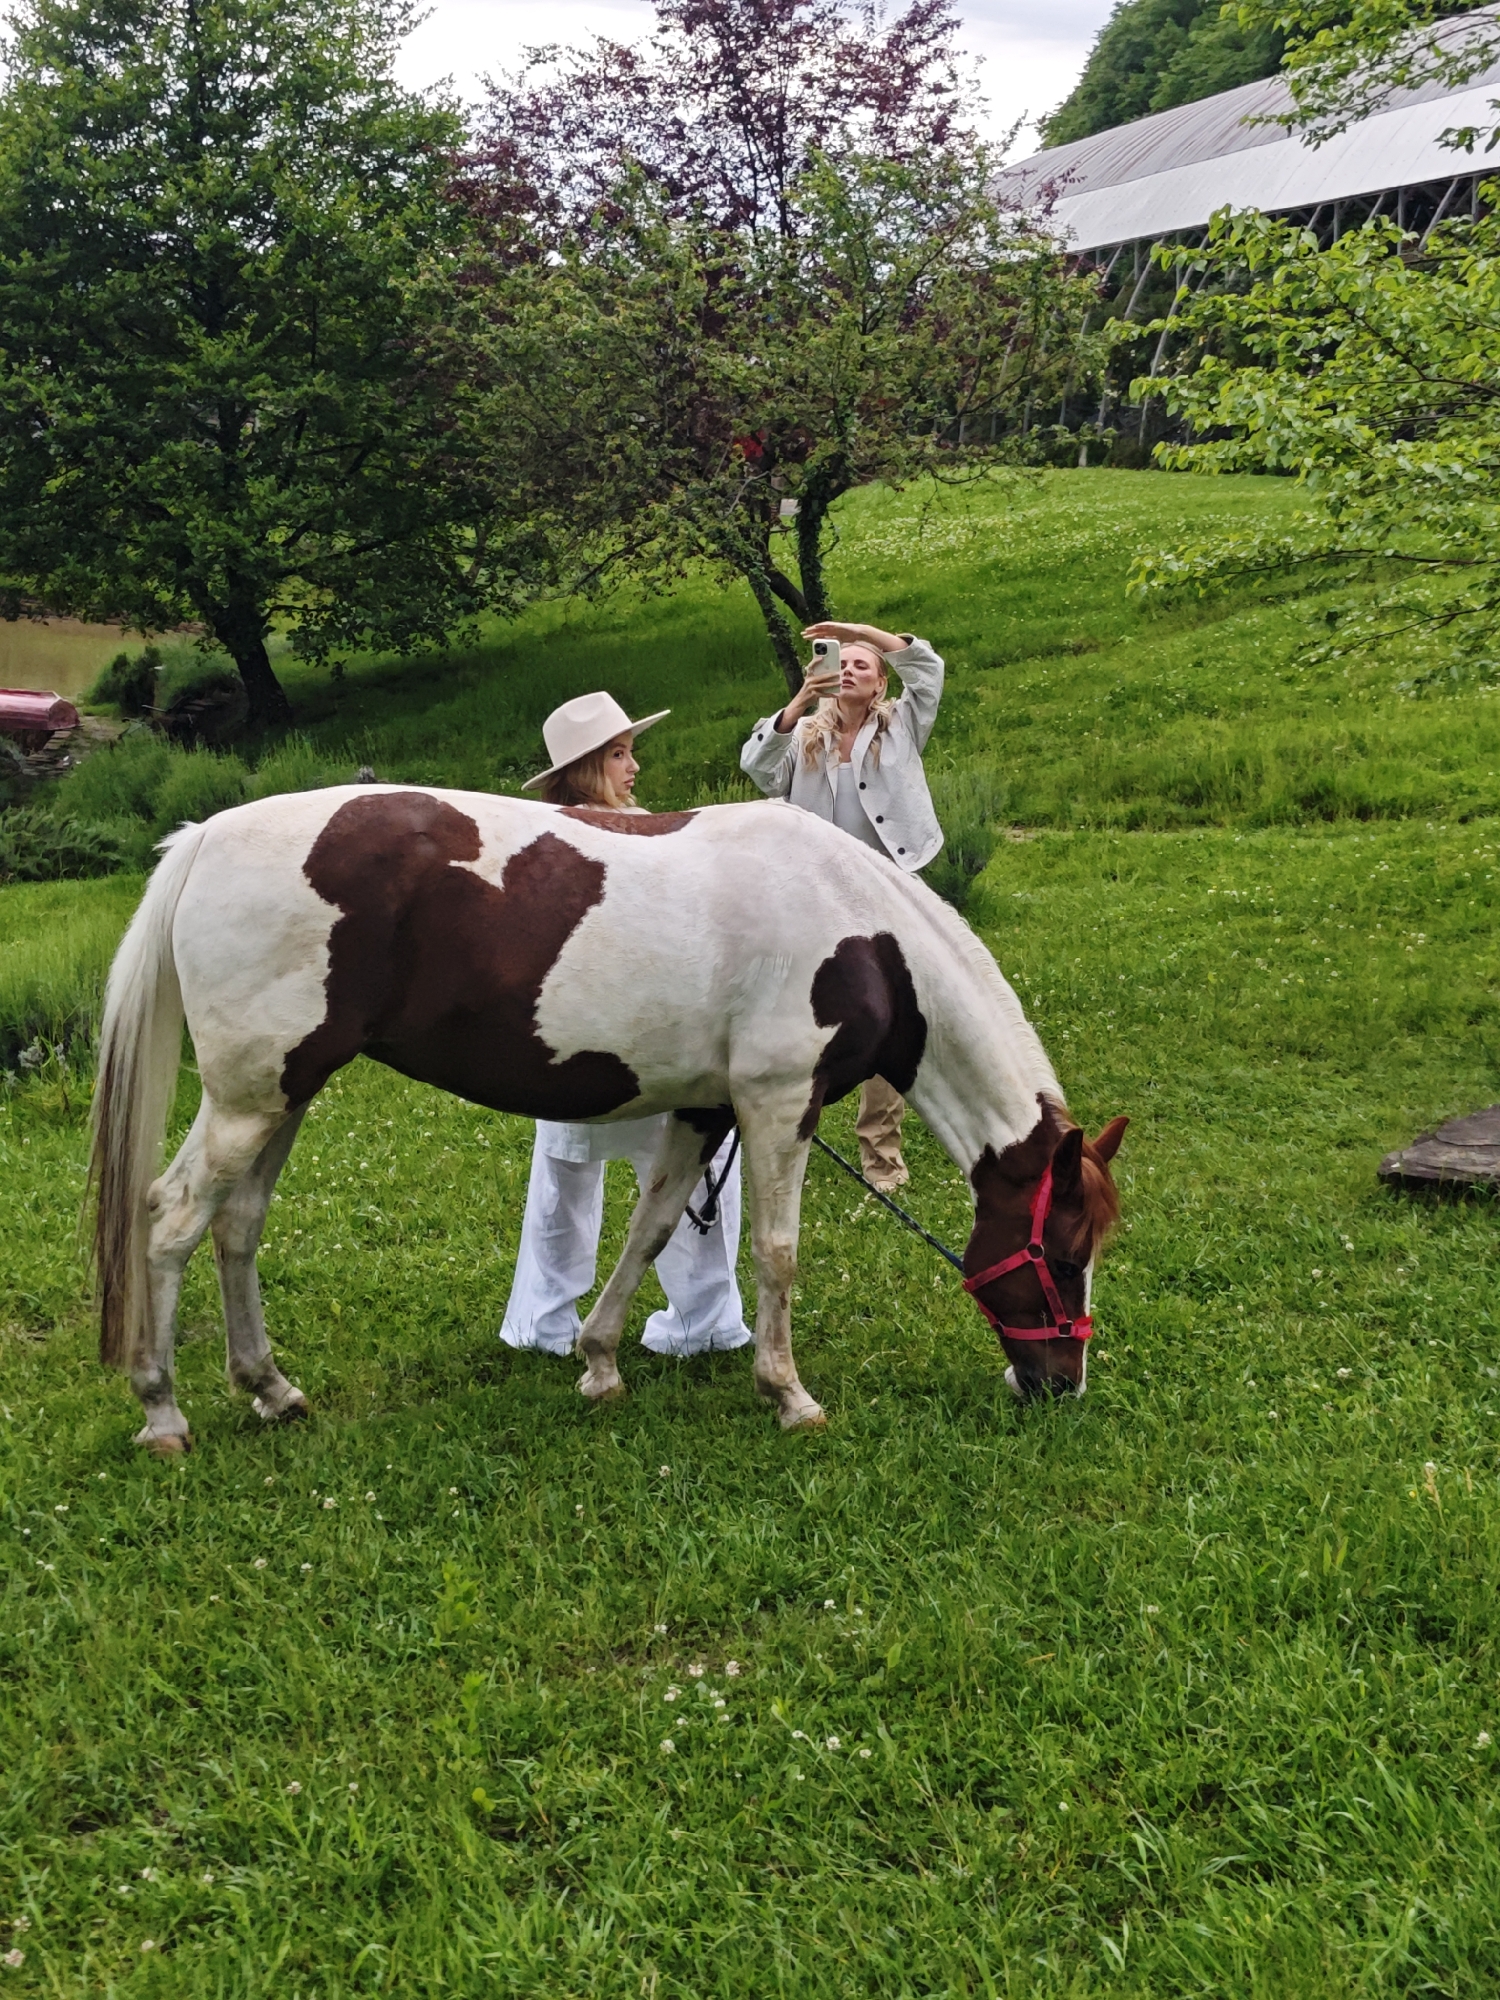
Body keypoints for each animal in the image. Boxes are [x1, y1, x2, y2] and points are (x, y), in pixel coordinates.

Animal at [90, 786, 1127, 1453]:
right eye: (1065, 1253)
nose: (1060, 1385)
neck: (862, 929)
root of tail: (205, 838)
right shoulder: (777, 1102)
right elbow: (778, 1254)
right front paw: (789, 1394)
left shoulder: (705, 1108)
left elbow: (653, 1225)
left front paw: (597, 1362)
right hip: (250, 1099)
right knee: (173, 1220)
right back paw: (163, 1413)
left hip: (283, 1096)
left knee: (236, 1227)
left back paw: (270, 1389)